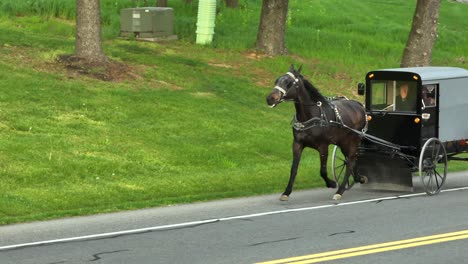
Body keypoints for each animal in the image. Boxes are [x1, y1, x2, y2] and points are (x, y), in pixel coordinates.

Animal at [266, 64, 368, 200]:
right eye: (276, 80)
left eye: (288, 83)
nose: (270, 98)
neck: (311, 116)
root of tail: (359, 105)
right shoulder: (297, 144)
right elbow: (293, 169)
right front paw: (286, 192)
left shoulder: (323, 146)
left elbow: (322, 170)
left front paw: (331, 183)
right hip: (343, 141)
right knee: (351, 159)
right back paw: (358, 178)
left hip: (353, 139)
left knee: (351, 160)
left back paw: (340, 191)